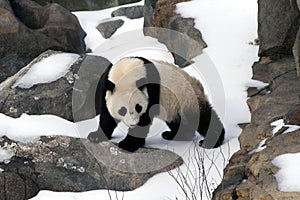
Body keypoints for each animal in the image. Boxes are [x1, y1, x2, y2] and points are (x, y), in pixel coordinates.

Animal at [88, 57, 224, 152]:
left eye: (138, 107)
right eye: (122, 110)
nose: (132, 123)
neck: (126, 71)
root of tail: (197, 85)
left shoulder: (151, 90)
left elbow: (143, 121)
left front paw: (127, 144)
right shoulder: (106, 87)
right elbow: (107, 117)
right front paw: (95, 136)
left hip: (186, 98)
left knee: (201, 117)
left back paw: (210, 141)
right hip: (174, 105)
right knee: (177, 121)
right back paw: (174, 135)